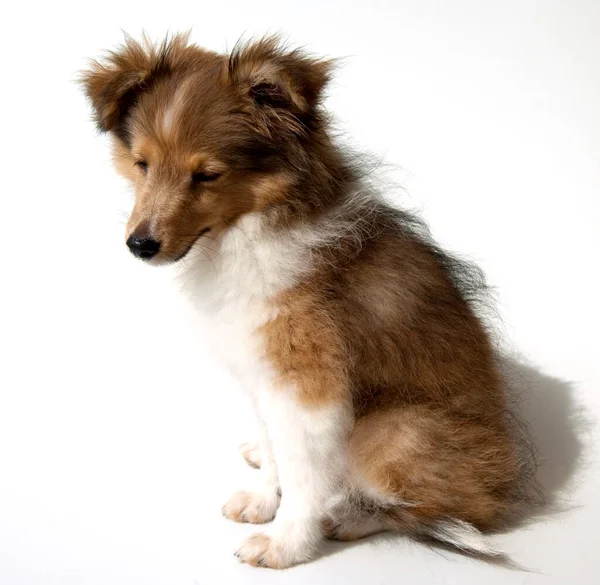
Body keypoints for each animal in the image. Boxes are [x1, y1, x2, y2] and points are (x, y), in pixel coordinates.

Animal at [82, 34, 532, 568]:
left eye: (207, 174)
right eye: (142, 162)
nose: (140, 245)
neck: (246, 232)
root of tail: (504, 487)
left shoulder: (308, 385)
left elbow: (302, 474)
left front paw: (284, 543)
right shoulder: (259, 372)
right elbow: (277, 454)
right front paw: (261, 501)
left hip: (392, 431)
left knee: (428, 511)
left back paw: (350, 516)